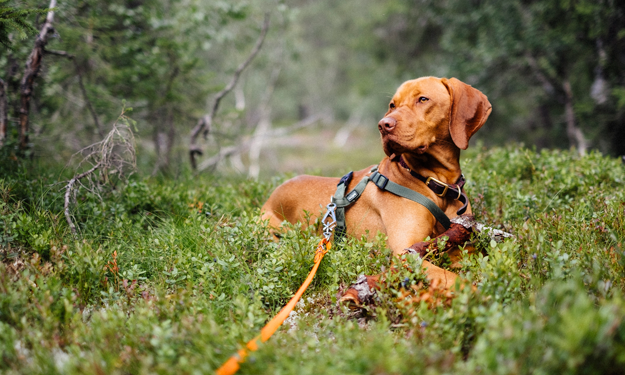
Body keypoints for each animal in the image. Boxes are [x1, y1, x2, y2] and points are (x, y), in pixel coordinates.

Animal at [260, 77, 490, 290]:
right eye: (392, 104)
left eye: (423, 99)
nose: (383, 125)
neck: (436, 183)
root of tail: (272, 194)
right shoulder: (407, 252)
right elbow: (456, 280)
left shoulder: (458, 242)